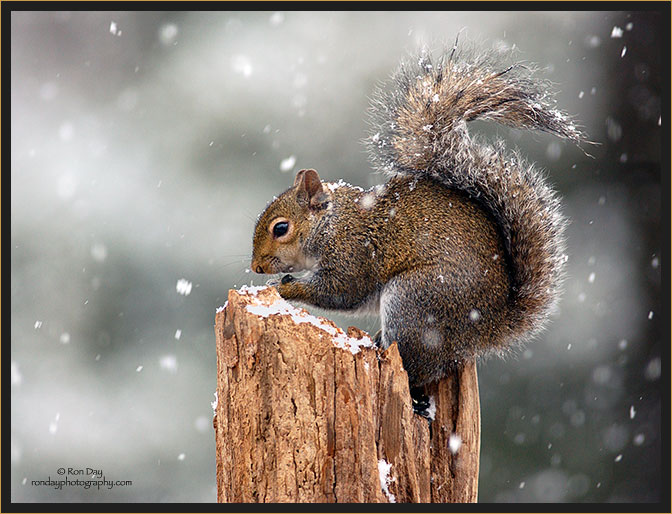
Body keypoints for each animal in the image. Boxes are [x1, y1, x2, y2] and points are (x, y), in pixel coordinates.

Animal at [250, 43, 582, 389]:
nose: (256, 267)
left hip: (416, 300)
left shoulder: (353, 255)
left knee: (417, 366)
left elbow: (341, 292)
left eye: (281, 228)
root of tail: (489, 327)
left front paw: (286, 288)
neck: (332, 224)